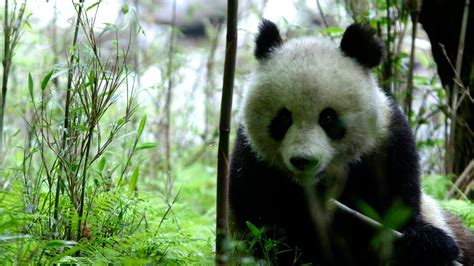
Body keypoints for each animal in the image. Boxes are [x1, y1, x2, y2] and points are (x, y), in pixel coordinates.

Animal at [228, 19, 472, 264]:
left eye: (328, 118)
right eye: (283, 118)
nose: (303, 160)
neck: (318, 185)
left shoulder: (386, 146)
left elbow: (397, 209)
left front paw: (423, 243)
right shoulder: (253, 160)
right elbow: (258, 221)